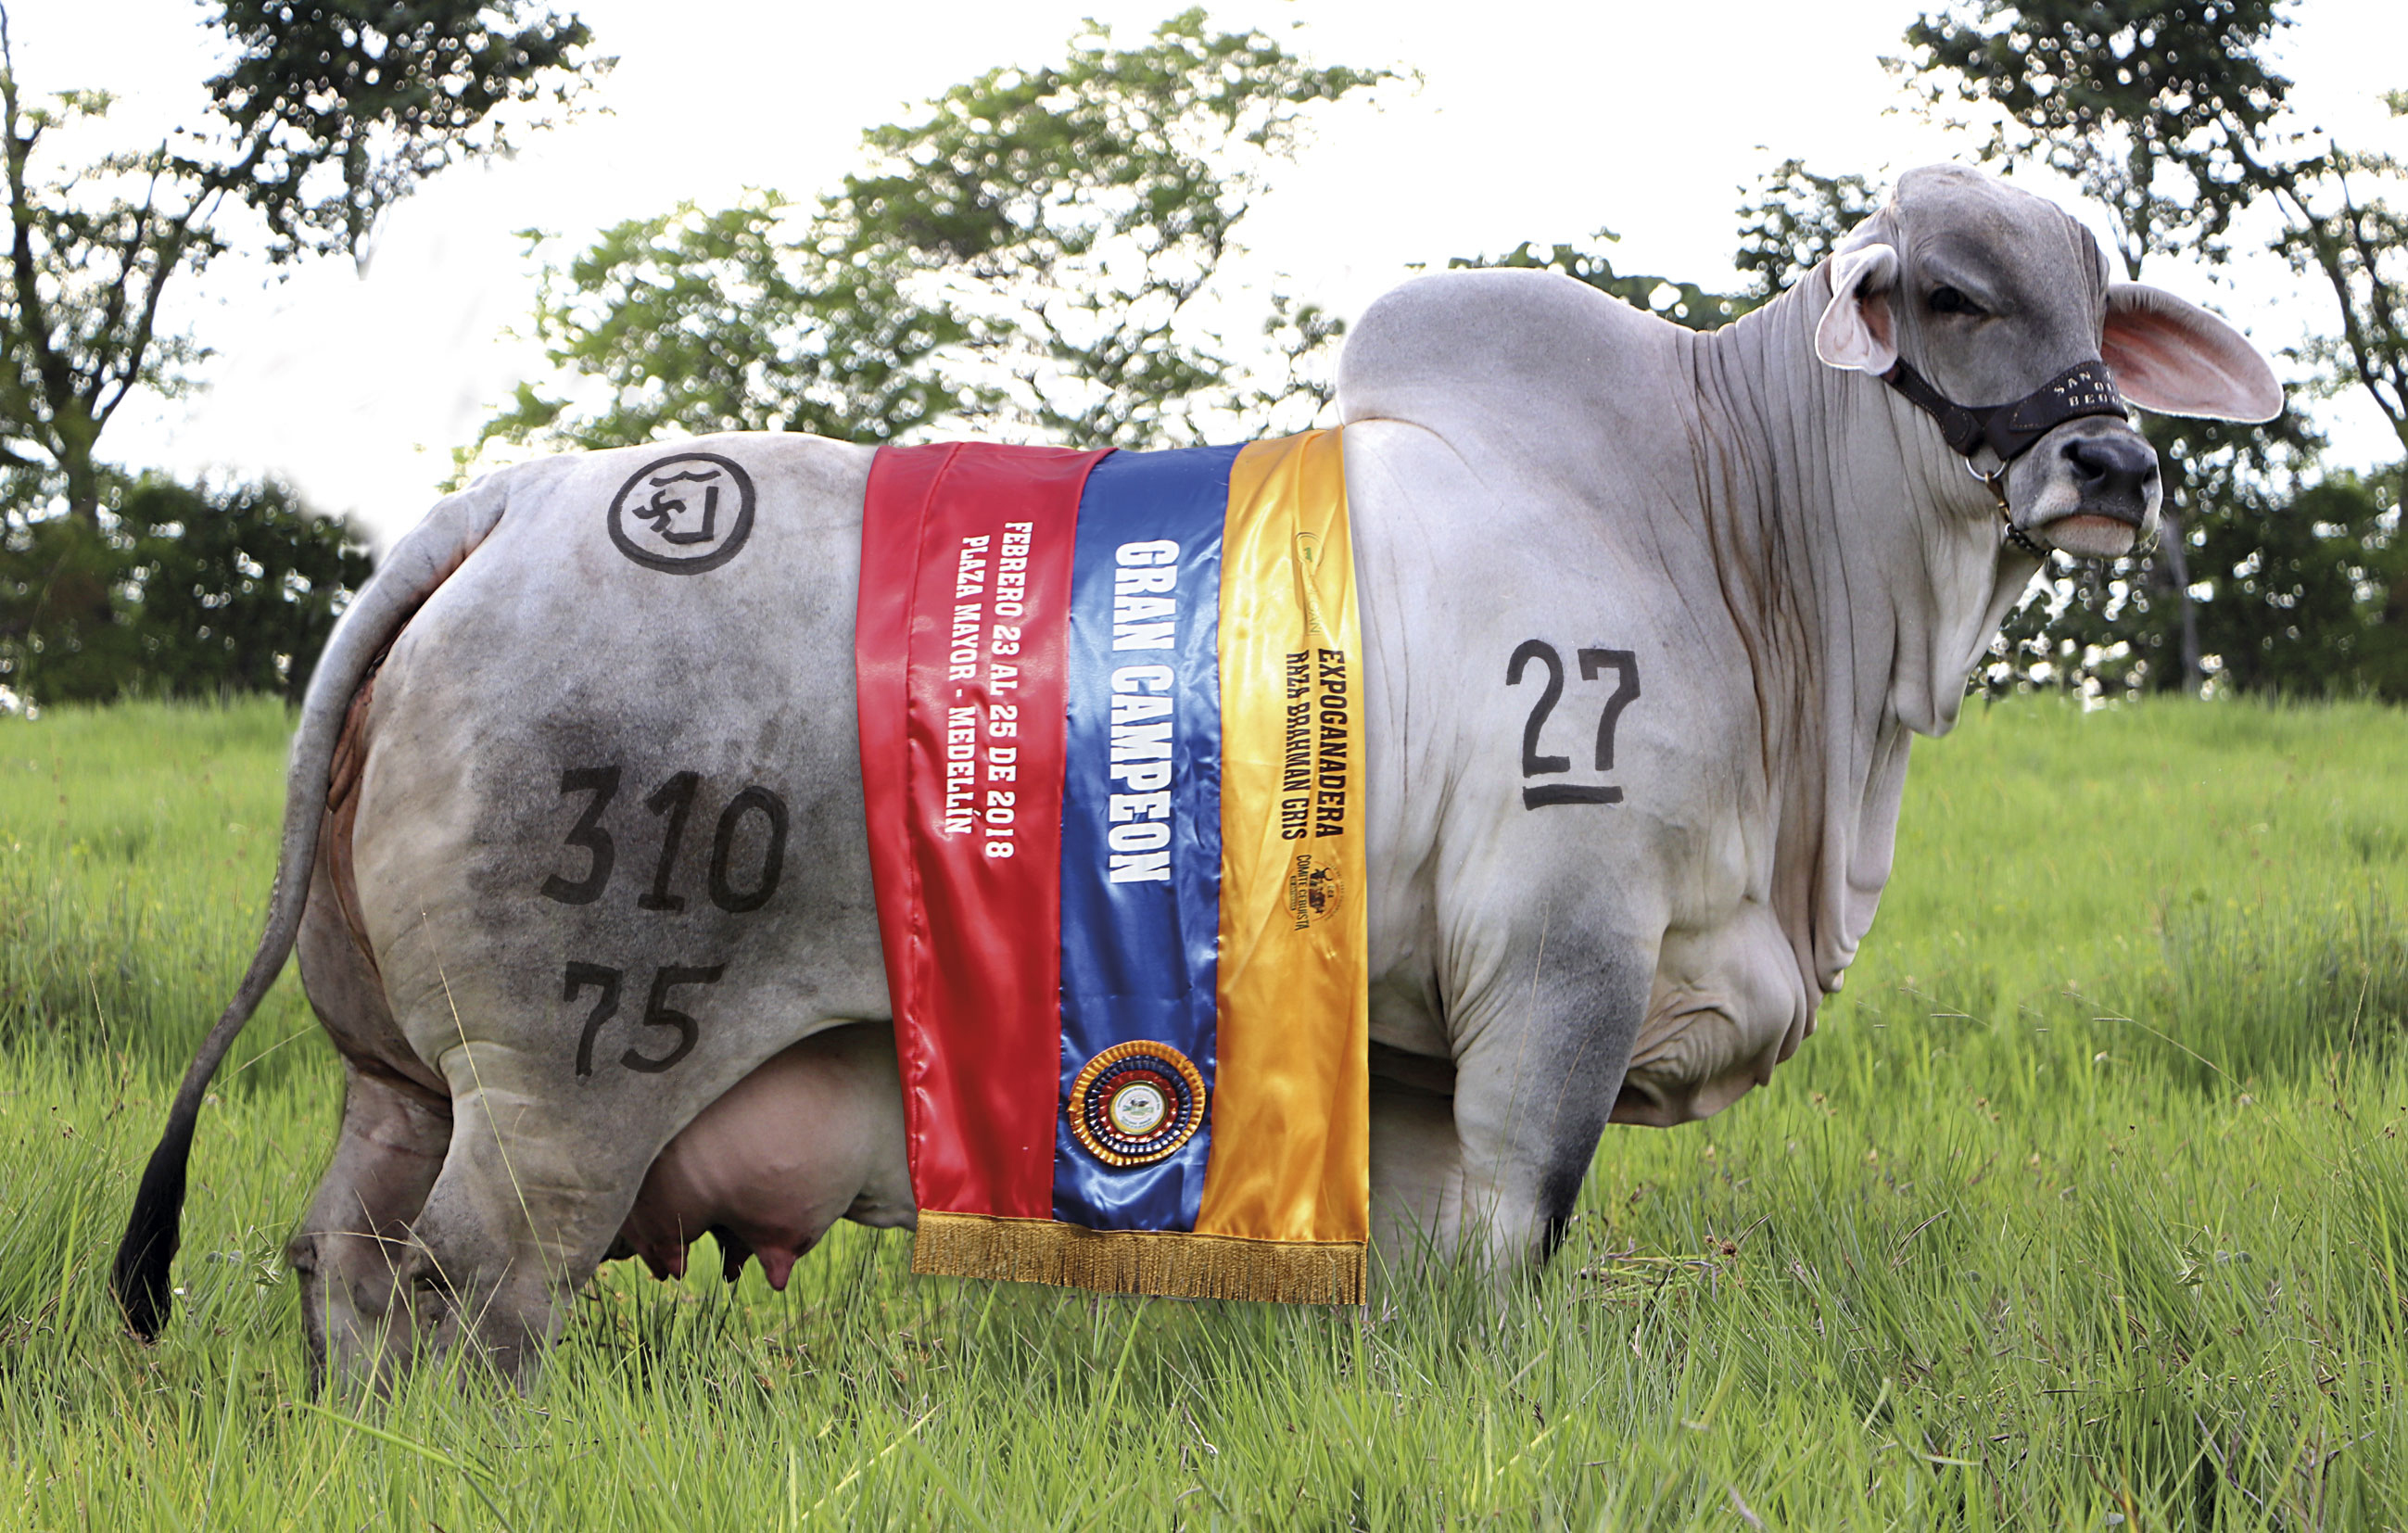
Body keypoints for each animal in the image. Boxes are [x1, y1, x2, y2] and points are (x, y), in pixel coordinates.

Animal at [113, 164, 2280, 1387]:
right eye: (1944, 293)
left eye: (2095, 300)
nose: (2113, 461)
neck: (1740, 544)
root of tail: (514, 498)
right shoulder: (1559, 966)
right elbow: (1518, 1242)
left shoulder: (1420, 1054)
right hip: (566, 1071)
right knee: (477, 1285)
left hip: (400, 1080)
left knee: (343, 1265)